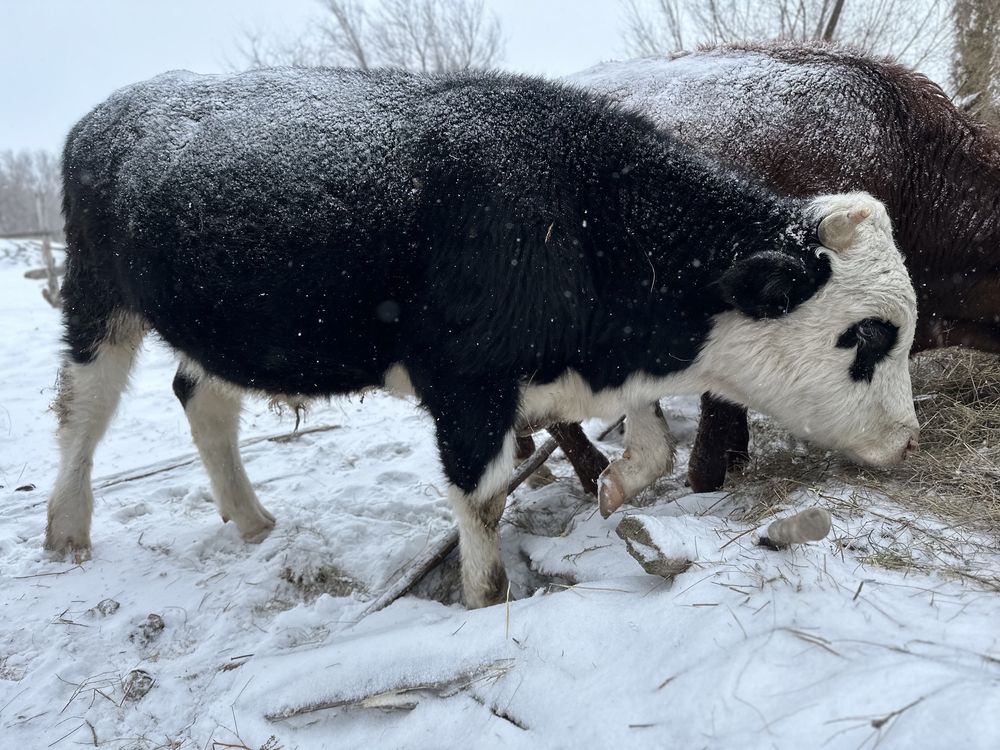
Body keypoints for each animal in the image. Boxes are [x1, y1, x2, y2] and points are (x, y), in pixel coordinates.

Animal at [48, 69, 920, 612]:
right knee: (81, 416)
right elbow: (484, 498)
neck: (580, 217)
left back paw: (252, 520)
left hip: (221, 330)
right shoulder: (466, 390)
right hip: (97, 305)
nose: (910, 441)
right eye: (868, 335)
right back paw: (67, 532)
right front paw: (482, 598)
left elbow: (652, 448)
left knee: (202, 399)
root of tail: (113, 109)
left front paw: (615, 490)